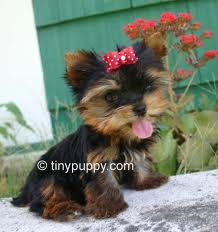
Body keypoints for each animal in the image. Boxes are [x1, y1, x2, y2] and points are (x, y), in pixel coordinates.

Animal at [12, 33, 170, 221]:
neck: (117, 135)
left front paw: (147, 179)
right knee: (45, 197)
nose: (140, 108)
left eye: (147, 86)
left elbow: (139, 160)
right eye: (111, 97)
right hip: (46, 176)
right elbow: (103, 180)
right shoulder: (96, 159)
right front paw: (109, 205)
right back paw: (64, 209)